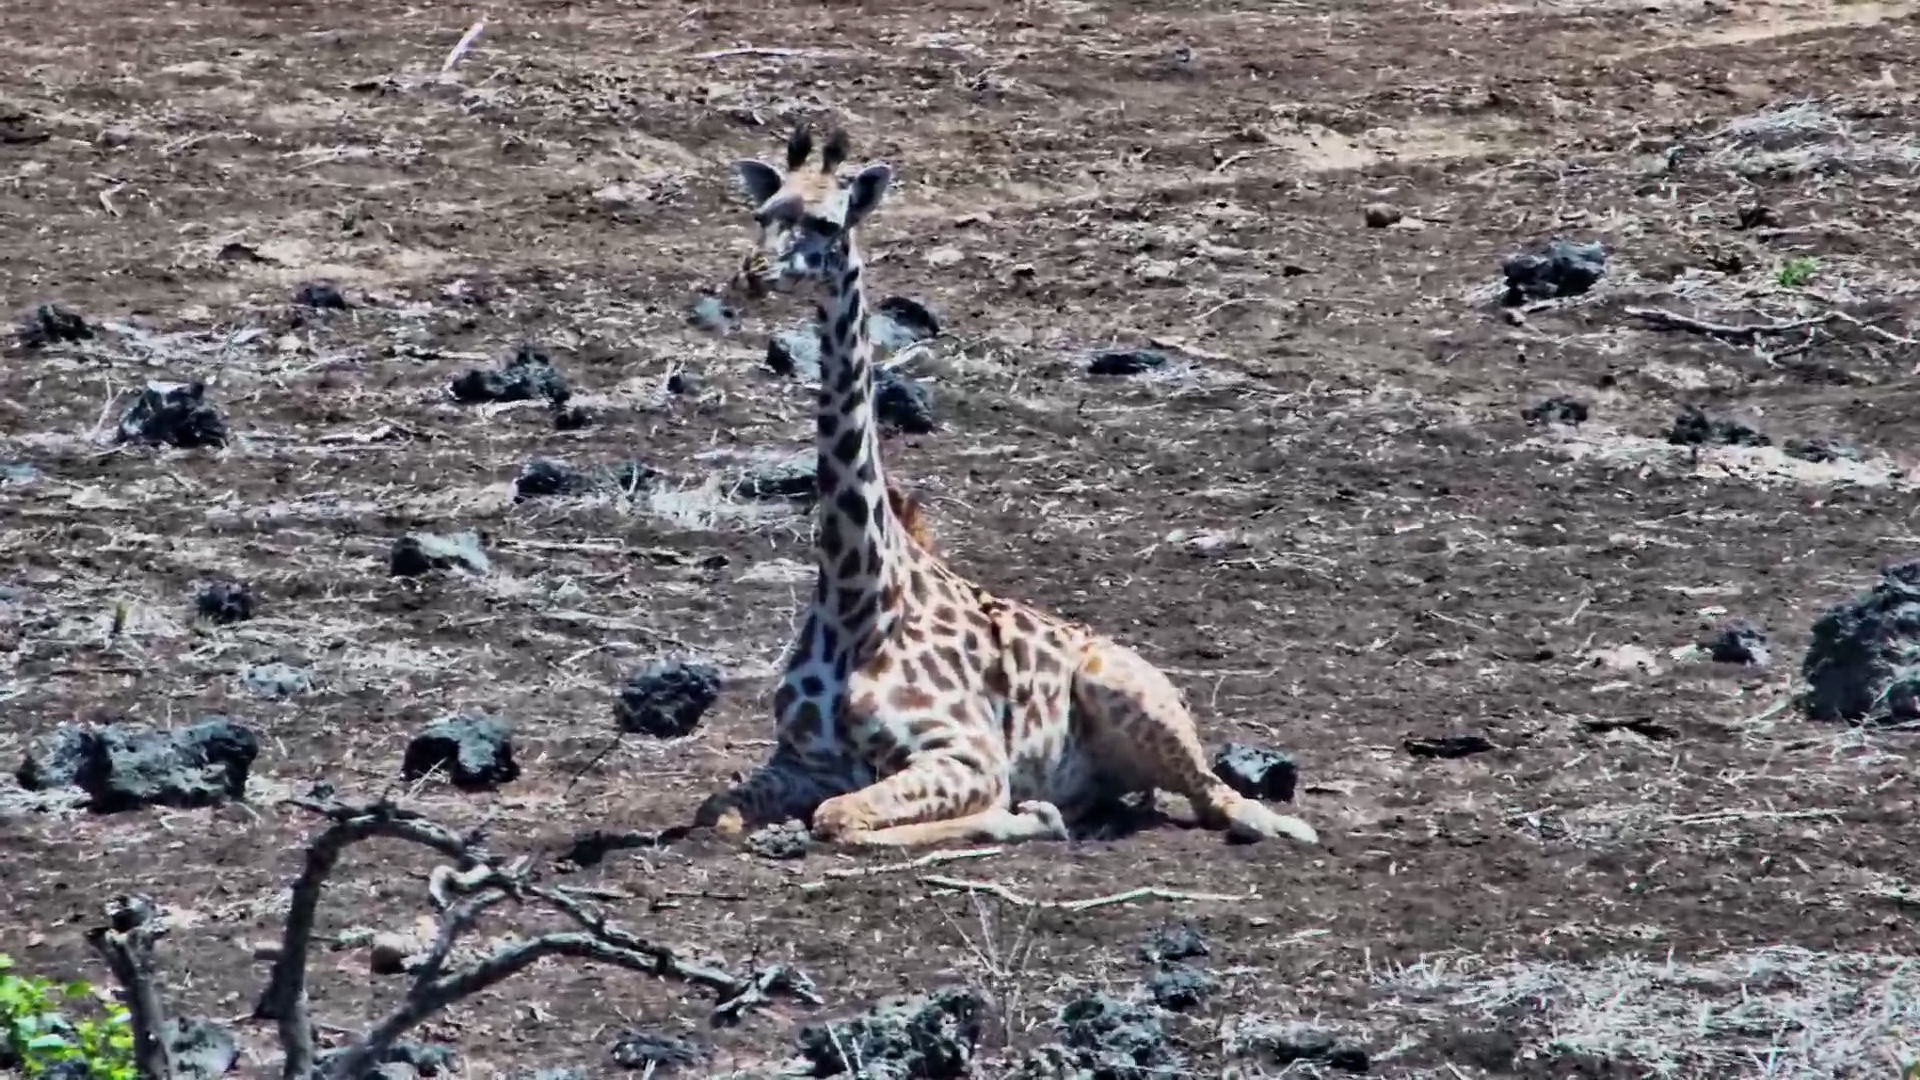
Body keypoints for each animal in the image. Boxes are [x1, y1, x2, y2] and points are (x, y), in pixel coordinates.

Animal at [692, 125, 1319, 849]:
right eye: (763, 215)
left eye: (826, 221)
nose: (750, 275)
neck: (857, 598)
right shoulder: (801, 760)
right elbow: (720, 813)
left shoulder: (967, 754)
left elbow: (841, 818)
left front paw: (1022, 816)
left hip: (1125, 691)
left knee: (1218, 796)